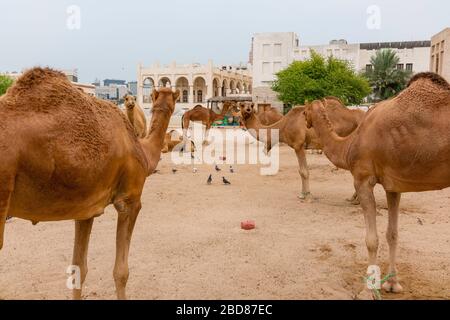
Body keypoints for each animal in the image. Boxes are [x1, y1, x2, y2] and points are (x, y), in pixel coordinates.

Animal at [304, 73, 450, 296]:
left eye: (304, 111)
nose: (304, 124)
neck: (349, 144)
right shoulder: (394, 185)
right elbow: (393, 234)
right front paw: (392, 283)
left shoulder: (363, 179)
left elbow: (371, 240)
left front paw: (368, 291)